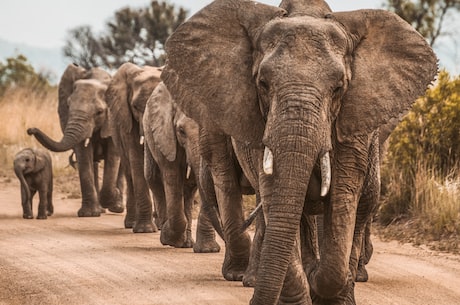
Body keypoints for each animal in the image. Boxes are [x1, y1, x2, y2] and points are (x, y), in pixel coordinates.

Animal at [27, 63, 124, 216]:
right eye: (68, 106)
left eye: (99, 112)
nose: (30, 130)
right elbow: (83, 156)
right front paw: (89, 214)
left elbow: (113, 157)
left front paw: (113, 196)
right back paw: (101, 209)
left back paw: (117, 207)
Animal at [105, 62, 163, 233]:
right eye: (136, 107)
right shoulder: (127, 118)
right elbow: (136, 160)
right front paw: (145, 230)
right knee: (129, 172)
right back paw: (131, 223)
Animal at [143, 81, 224, 249]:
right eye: (181, 131)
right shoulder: (165, 134)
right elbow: (172, 176)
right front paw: (169, 238)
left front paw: (207, 250)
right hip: (149, 133)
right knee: (153, 178)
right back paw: (166, 232)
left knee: (189, 188)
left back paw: (186, 244)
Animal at [162, 1, 438, 302]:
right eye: (262, 84)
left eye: (339, 88)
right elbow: (276, 196)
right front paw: (306, 289)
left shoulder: (354, 123)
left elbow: (343, 198)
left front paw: (324, 287)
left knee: (362, 203)